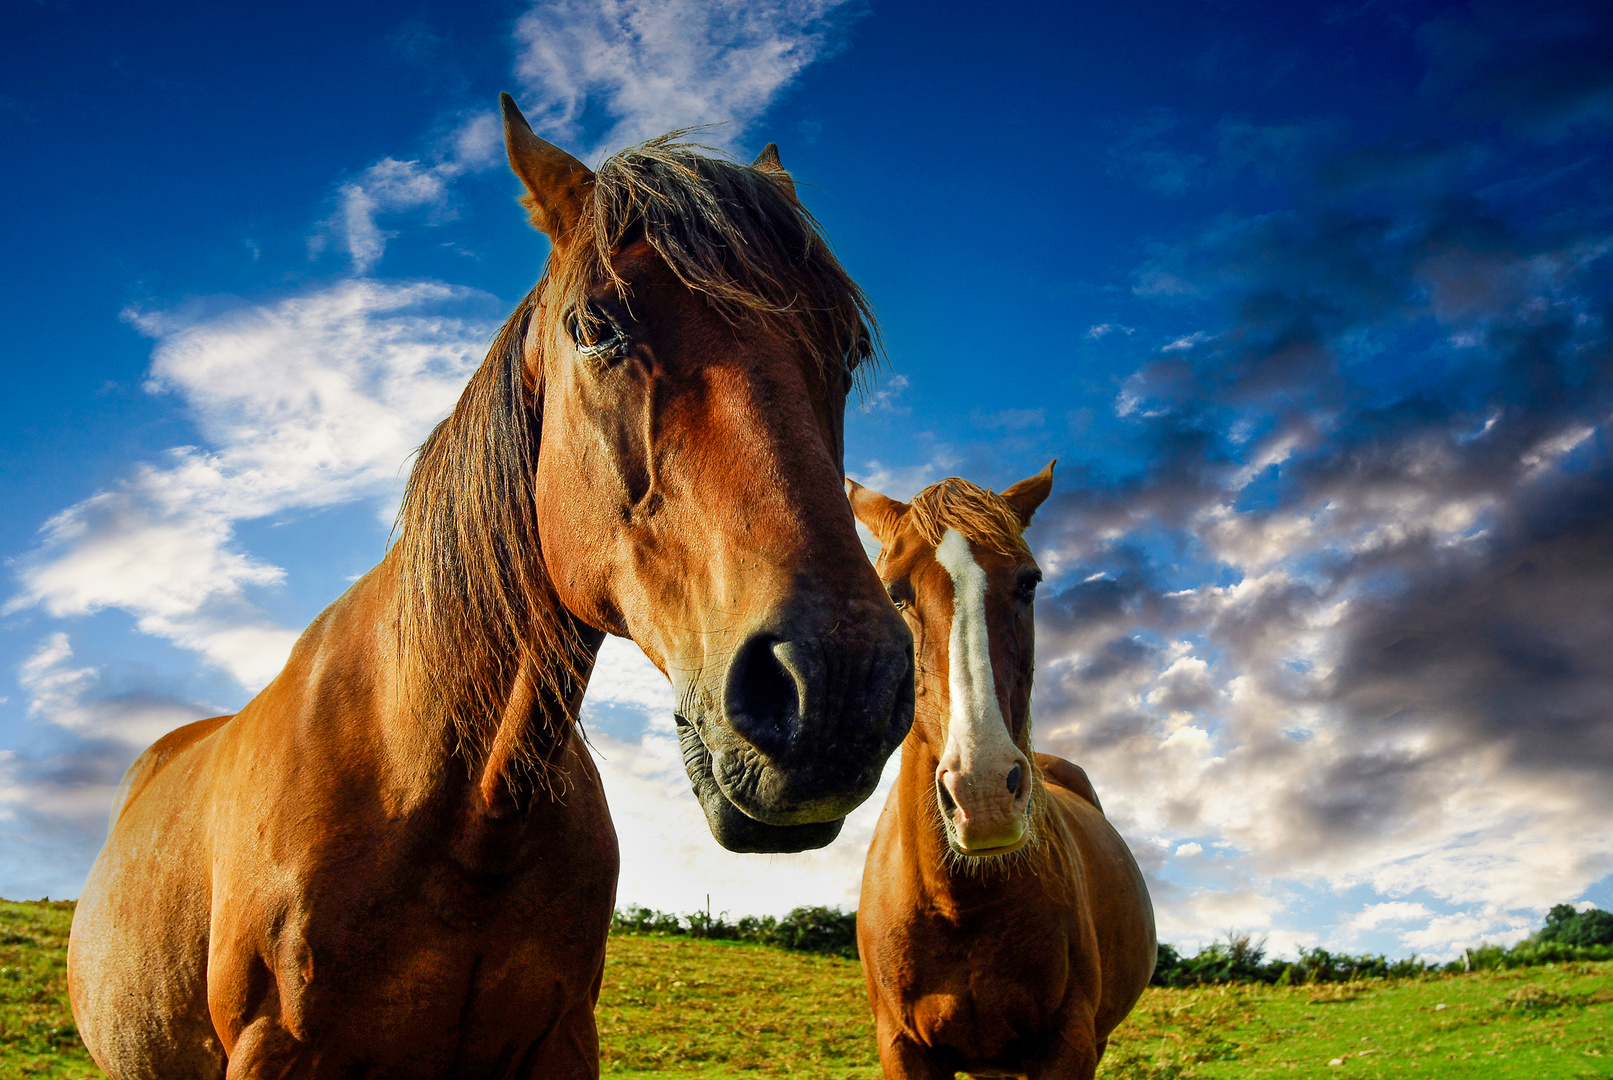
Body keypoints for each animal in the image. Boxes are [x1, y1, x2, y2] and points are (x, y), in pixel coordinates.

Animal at [66, 95, 922, 1080]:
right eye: (595, 326)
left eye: (848, 347)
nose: (838, 687)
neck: (457, 804)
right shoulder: (272, 1047)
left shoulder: (560, 1038)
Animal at [851, 470, 1154, 1080]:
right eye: (894, 592)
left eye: (1029, 583)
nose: (983, 792)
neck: (959, 906)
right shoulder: (901, 1046)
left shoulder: (1070, 1043)